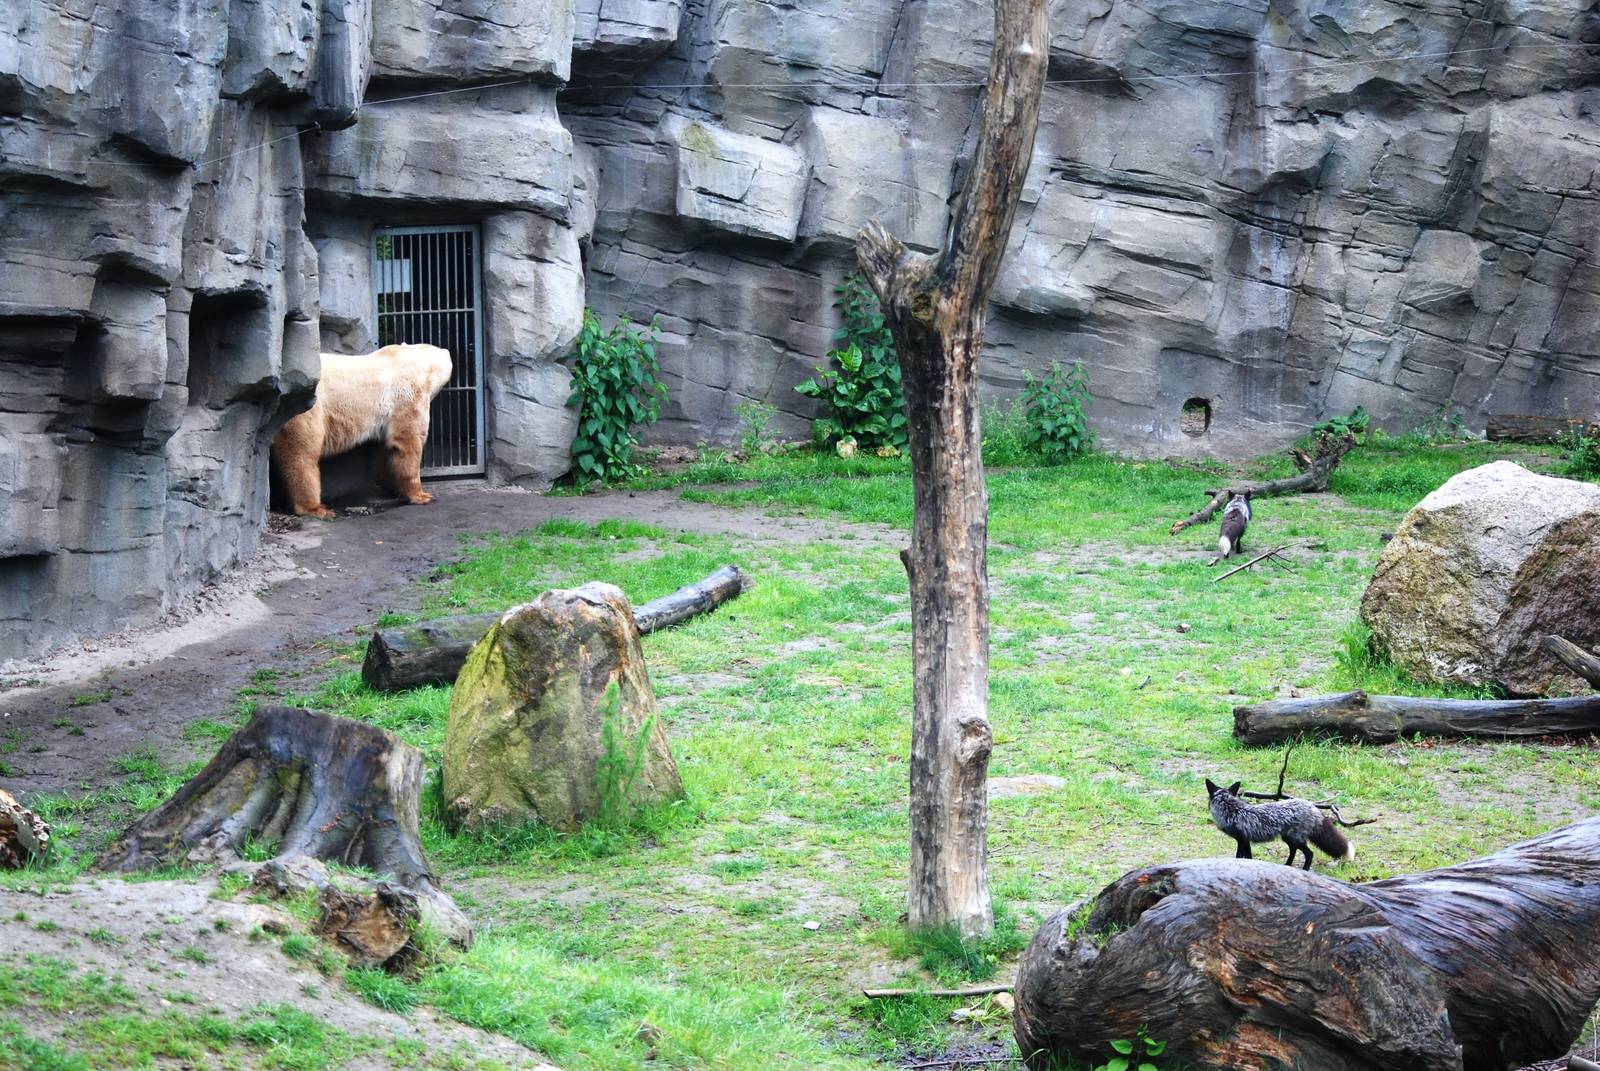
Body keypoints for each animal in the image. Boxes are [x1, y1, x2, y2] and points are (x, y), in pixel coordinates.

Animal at [271, 344, 453, 519]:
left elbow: (383, 450)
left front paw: (392, 487)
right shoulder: (406, 396)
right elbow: (407, 442)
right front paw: (421, 495)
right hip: (307, 407)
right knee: (302, 452)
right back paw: (315, 508)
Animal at [1206, 778, 1355, 870]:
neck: (1232, 810)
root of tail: (1312, 806)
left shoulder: (1243, 839)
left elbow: (1242, 857)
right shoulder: (1244, 840)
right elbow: (1245, 857)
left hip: (1296, 839)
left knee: (1309, 854)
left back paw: (1304, 870)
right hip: (1288, 838)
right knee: (1293, 851)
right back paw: (1286, 866)